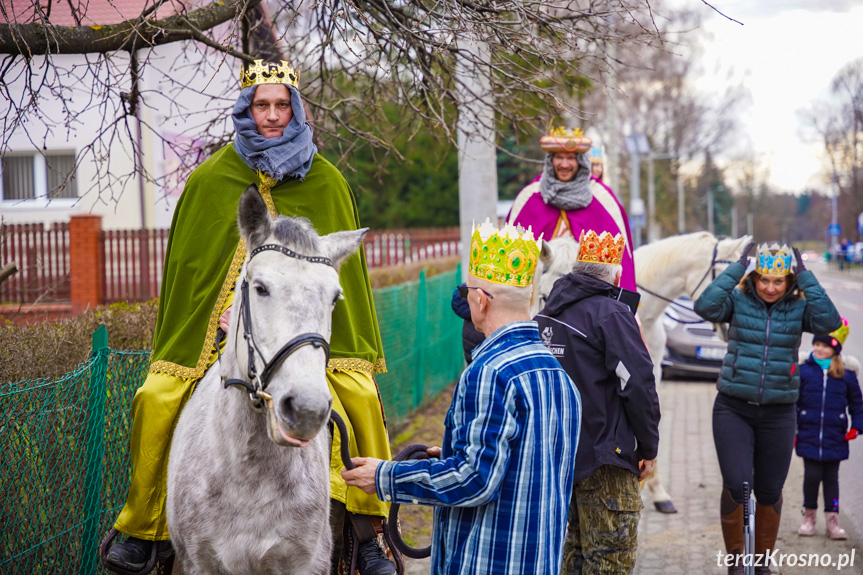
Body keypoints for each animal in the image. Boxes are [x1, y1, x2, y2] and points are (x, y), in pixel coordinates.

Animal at [166, 187, 368, 572]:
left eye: (335, 297)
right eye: (260, 288)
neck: (249, 475)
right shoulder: (199, 563)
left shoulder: (307, 562)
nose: (306, 410)